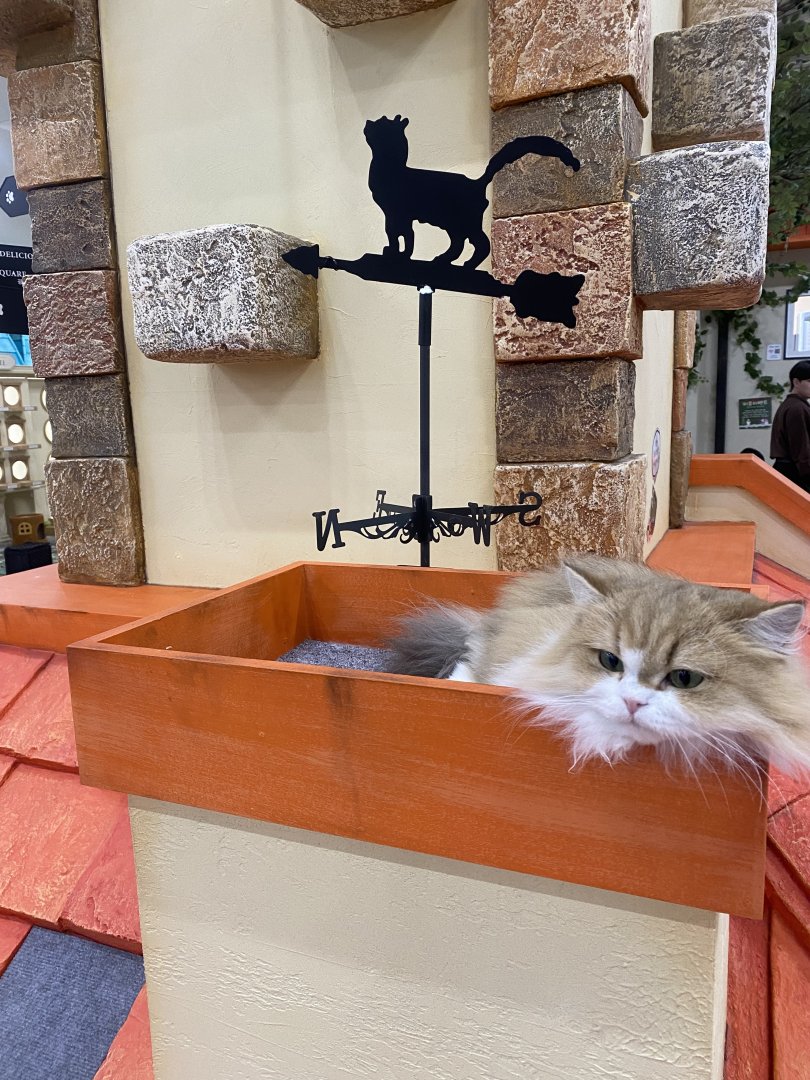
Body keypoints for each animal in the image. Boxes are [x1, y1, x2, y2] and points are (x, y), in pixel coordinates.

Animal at [364, 115, 580, 269]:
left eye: (380, 122)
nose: (367, 122)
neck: (392, 168)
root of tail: (478, 183)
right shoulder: (398, 215)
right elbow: (401, 234)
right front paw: (399, 255)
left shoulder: (397, 213)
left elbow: (398, 234)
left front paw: (397, 255)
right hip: (453, 224)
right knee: (459, 244)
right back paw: (443, 261)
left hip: (463, 222)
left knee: (481, 244)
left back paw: (466, 266)